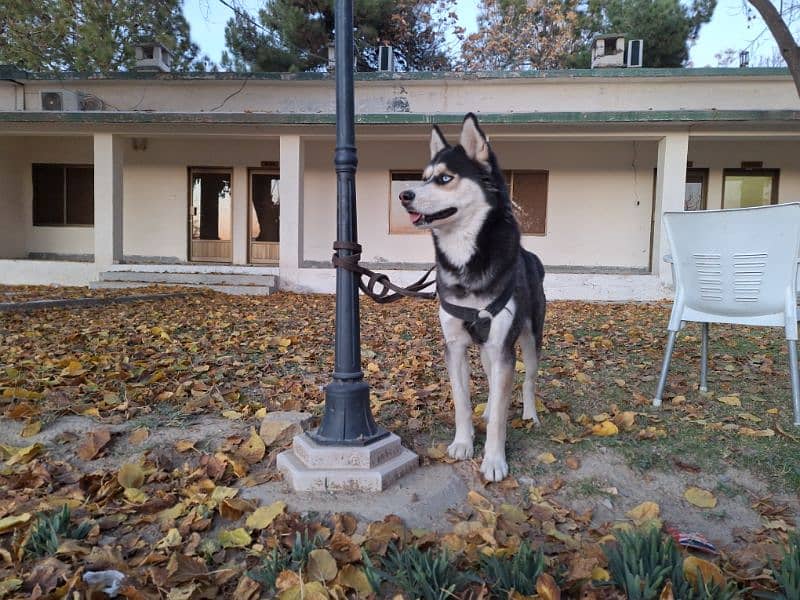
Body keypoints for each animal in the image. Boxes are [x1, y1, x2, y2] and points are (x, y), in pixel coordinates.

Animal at [398, 113, 548, 482]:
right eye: (423, 178)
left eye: (444, 178)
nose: (404, 195)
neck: (466, 258)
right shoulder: (454, 345)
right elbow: (462, 403)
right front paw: (463, 443)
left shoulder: (503, 345)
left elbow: (501, 414)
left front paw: (494, 460)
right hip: (486, 349)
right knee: (494, 383)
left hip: (527, 340)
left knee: (527, 381)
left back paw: (530, 415)